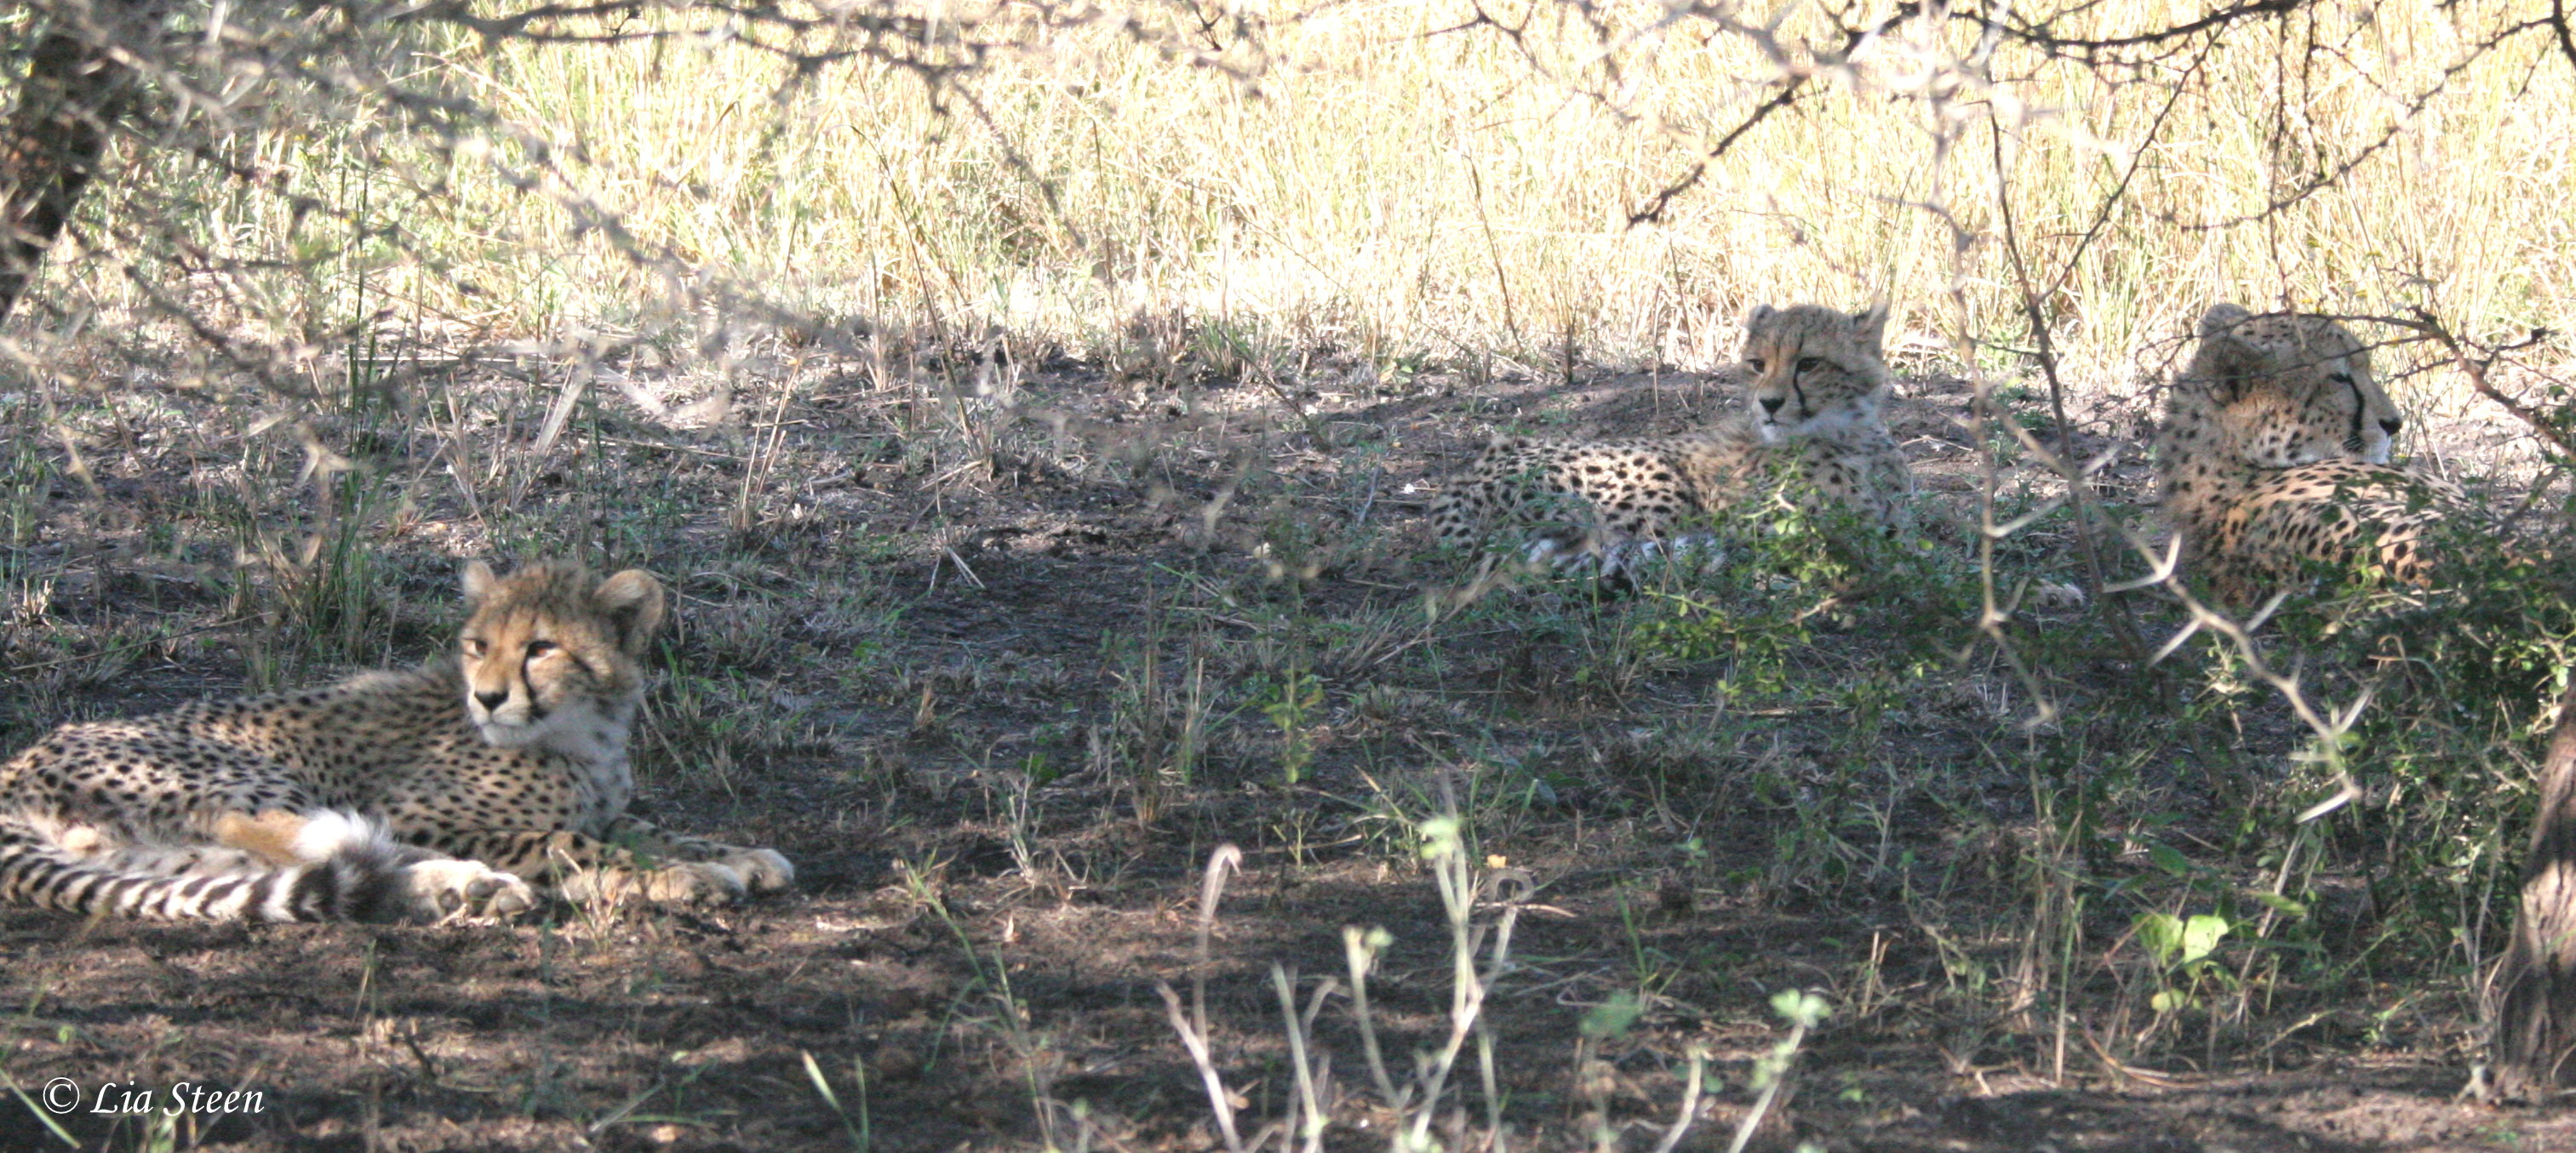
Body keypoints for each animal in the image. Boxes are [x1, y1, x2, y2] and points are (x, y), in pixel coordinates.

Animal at [0, 558, 793, 926]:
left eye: (541, 647)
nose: (488, 697)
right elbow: (563, 839)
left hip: (148, 847)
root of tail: (19, 760)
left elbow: (649, 829)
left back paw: (462, 887)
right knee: (302, 835)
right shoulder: (420, 808)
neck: (582, 731)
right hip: (240, 774)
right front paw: (685, 876)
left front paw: (734, 855)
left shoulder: (607, 802)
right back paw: (467, 880)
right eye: (478, 646)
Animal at [1432, 300, 1916, 581]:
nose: (1769, 404)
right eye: (1758, 364)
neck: (1848, 433)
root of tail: (1460, 480)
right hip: (1658, 488)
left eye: (1810, 363)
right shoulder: (1754, 525)